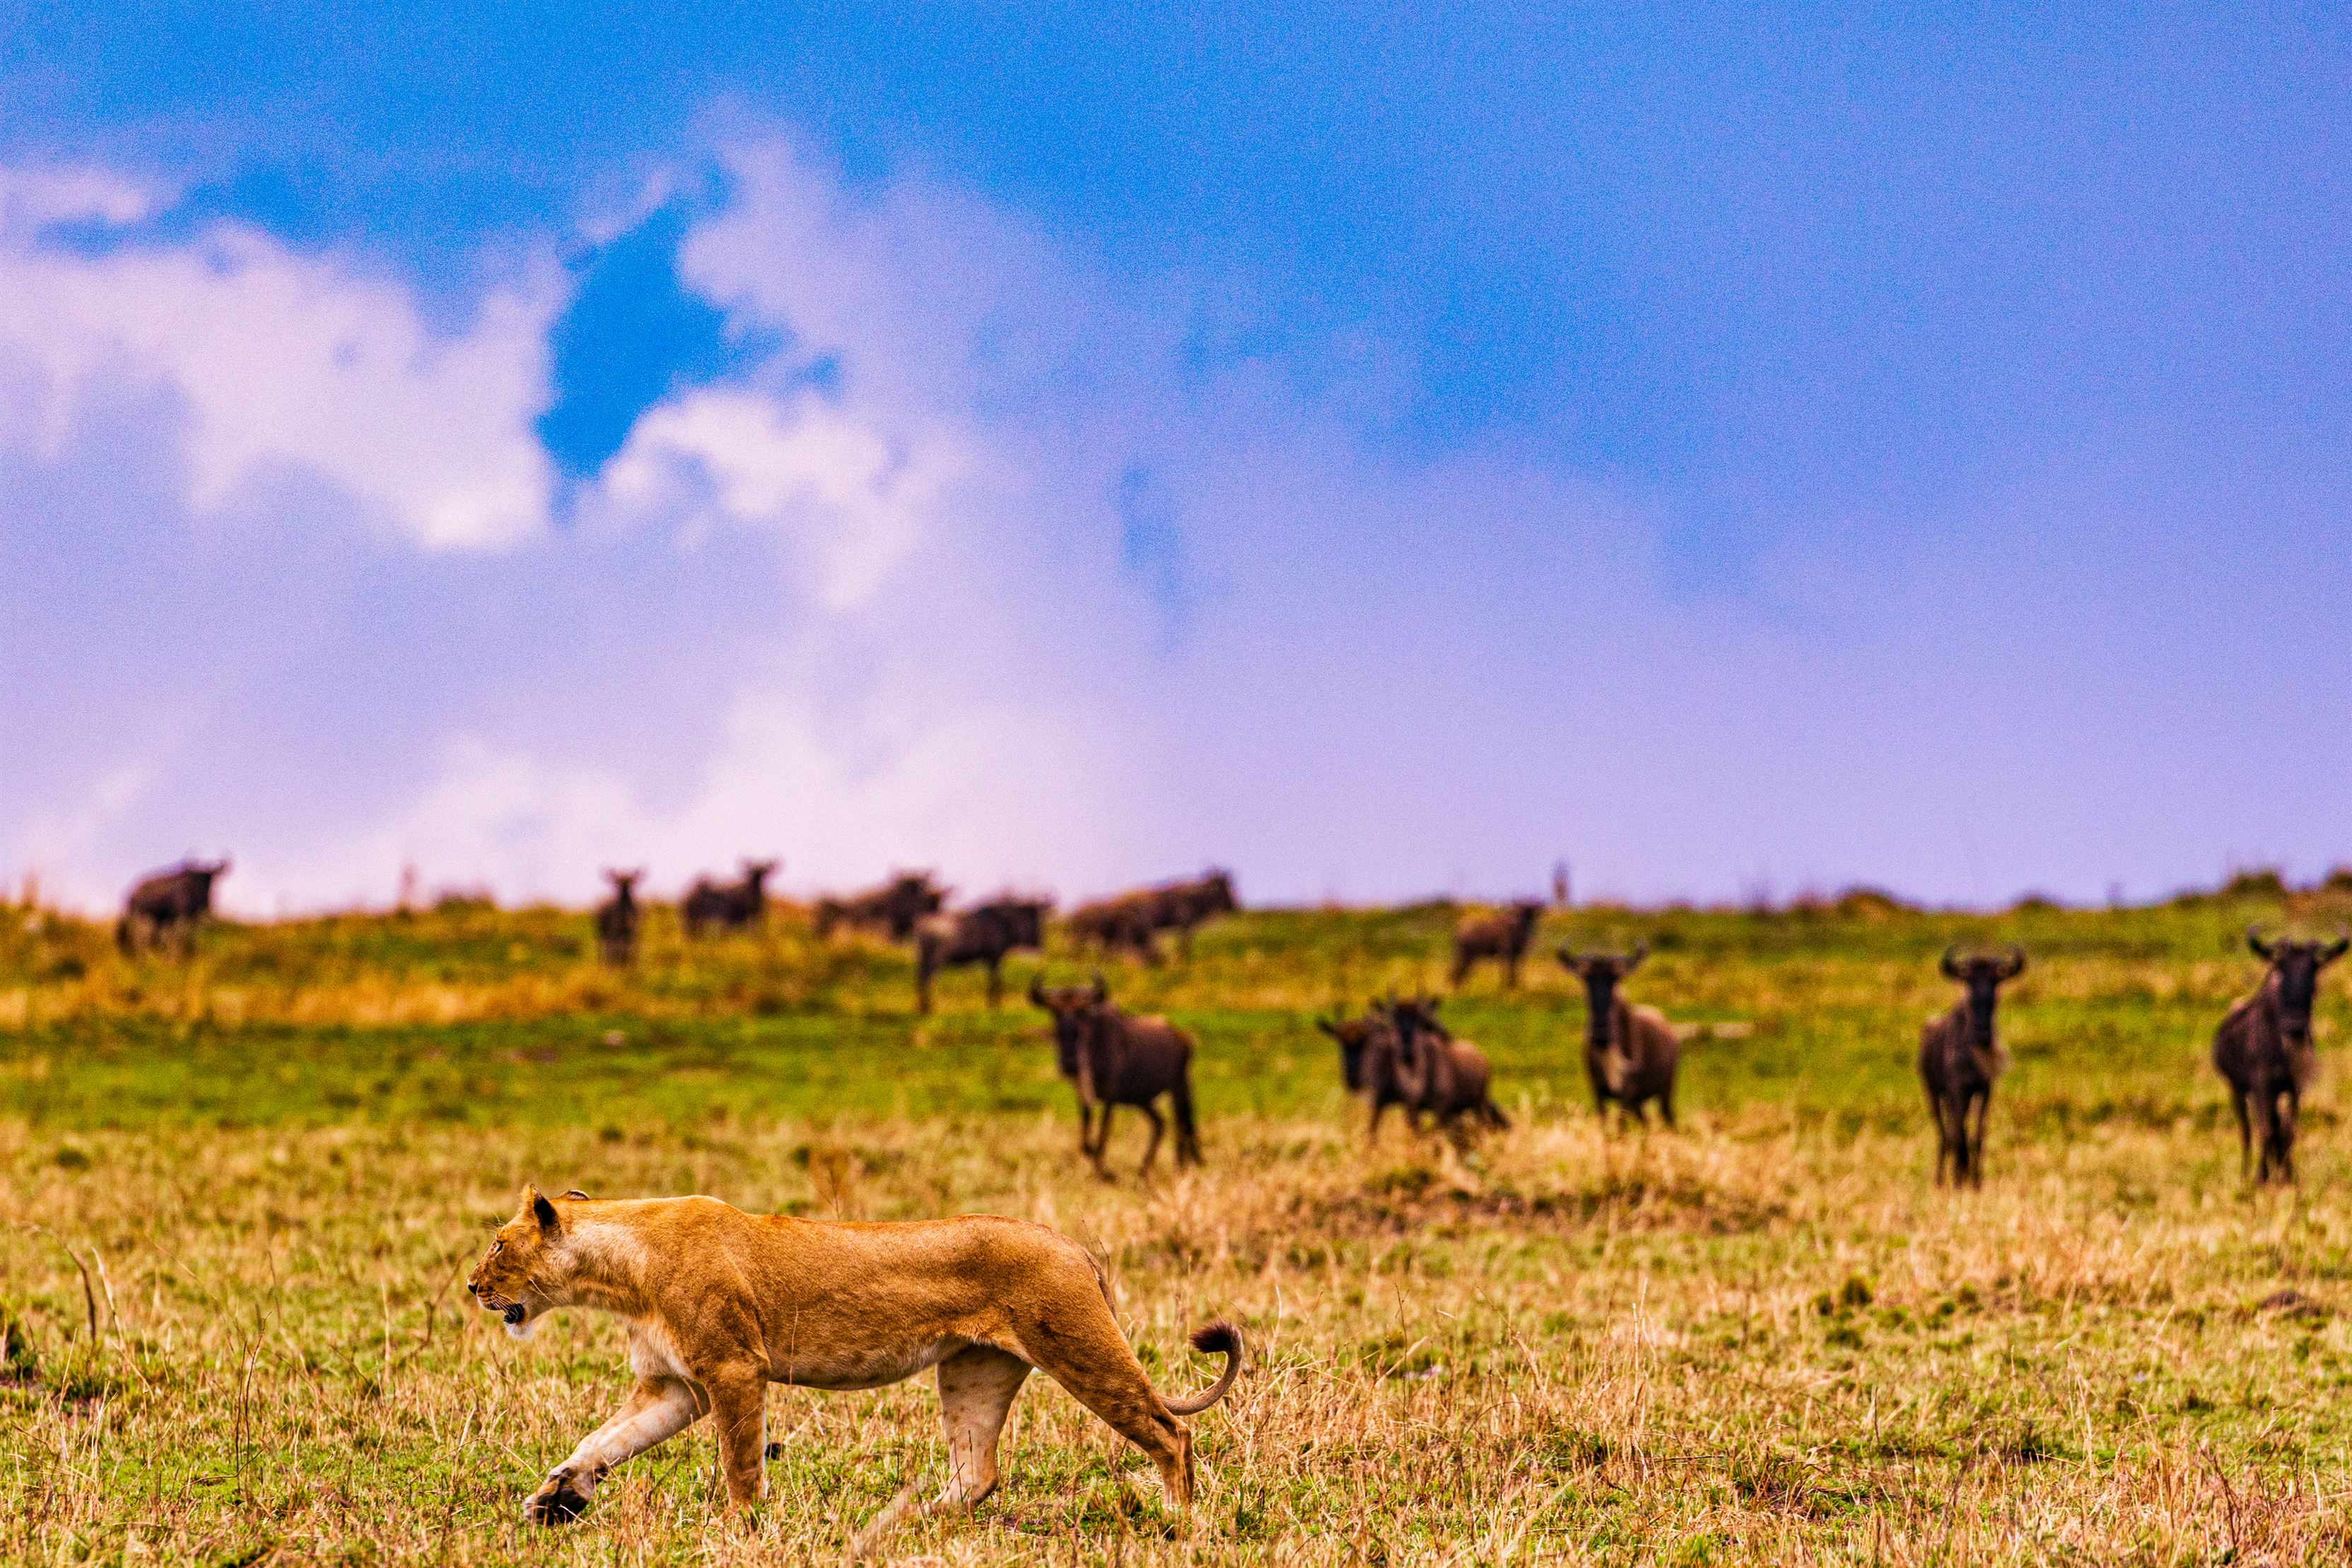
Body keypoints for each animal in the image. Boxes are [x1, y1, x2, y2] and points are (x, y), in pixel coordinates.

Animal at [466, 1185, 1241, 1548]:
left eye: (499, 1244)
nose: (472, 1286)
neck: (618, 1272)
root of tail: (1076, 1246)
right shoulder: (676, 1385)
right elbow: (603, 1439)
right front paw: (556, 1499)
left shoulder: (733, 1367)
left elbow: (739, 1461)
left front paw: (743, 1530)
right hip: (974, 1372)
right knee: (977, 1472)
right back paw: (899, 1524)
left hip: (1078, 1347)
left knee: (1169, 1431)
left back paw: (1181, 1523)